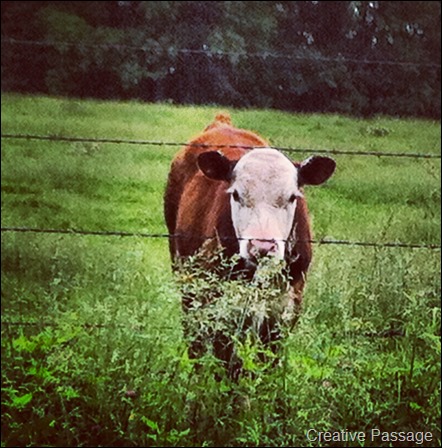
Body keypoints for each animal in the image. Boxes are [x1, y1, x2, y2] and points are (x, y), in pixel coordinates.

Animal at [164, 112, 335, 377]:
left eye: (292, 197)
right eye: (236, 195)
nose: (262, 247)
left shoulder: (286, 307)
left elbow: (268, 361)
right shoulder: (222, 305)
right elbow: (227, 360)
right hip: (184, 274)